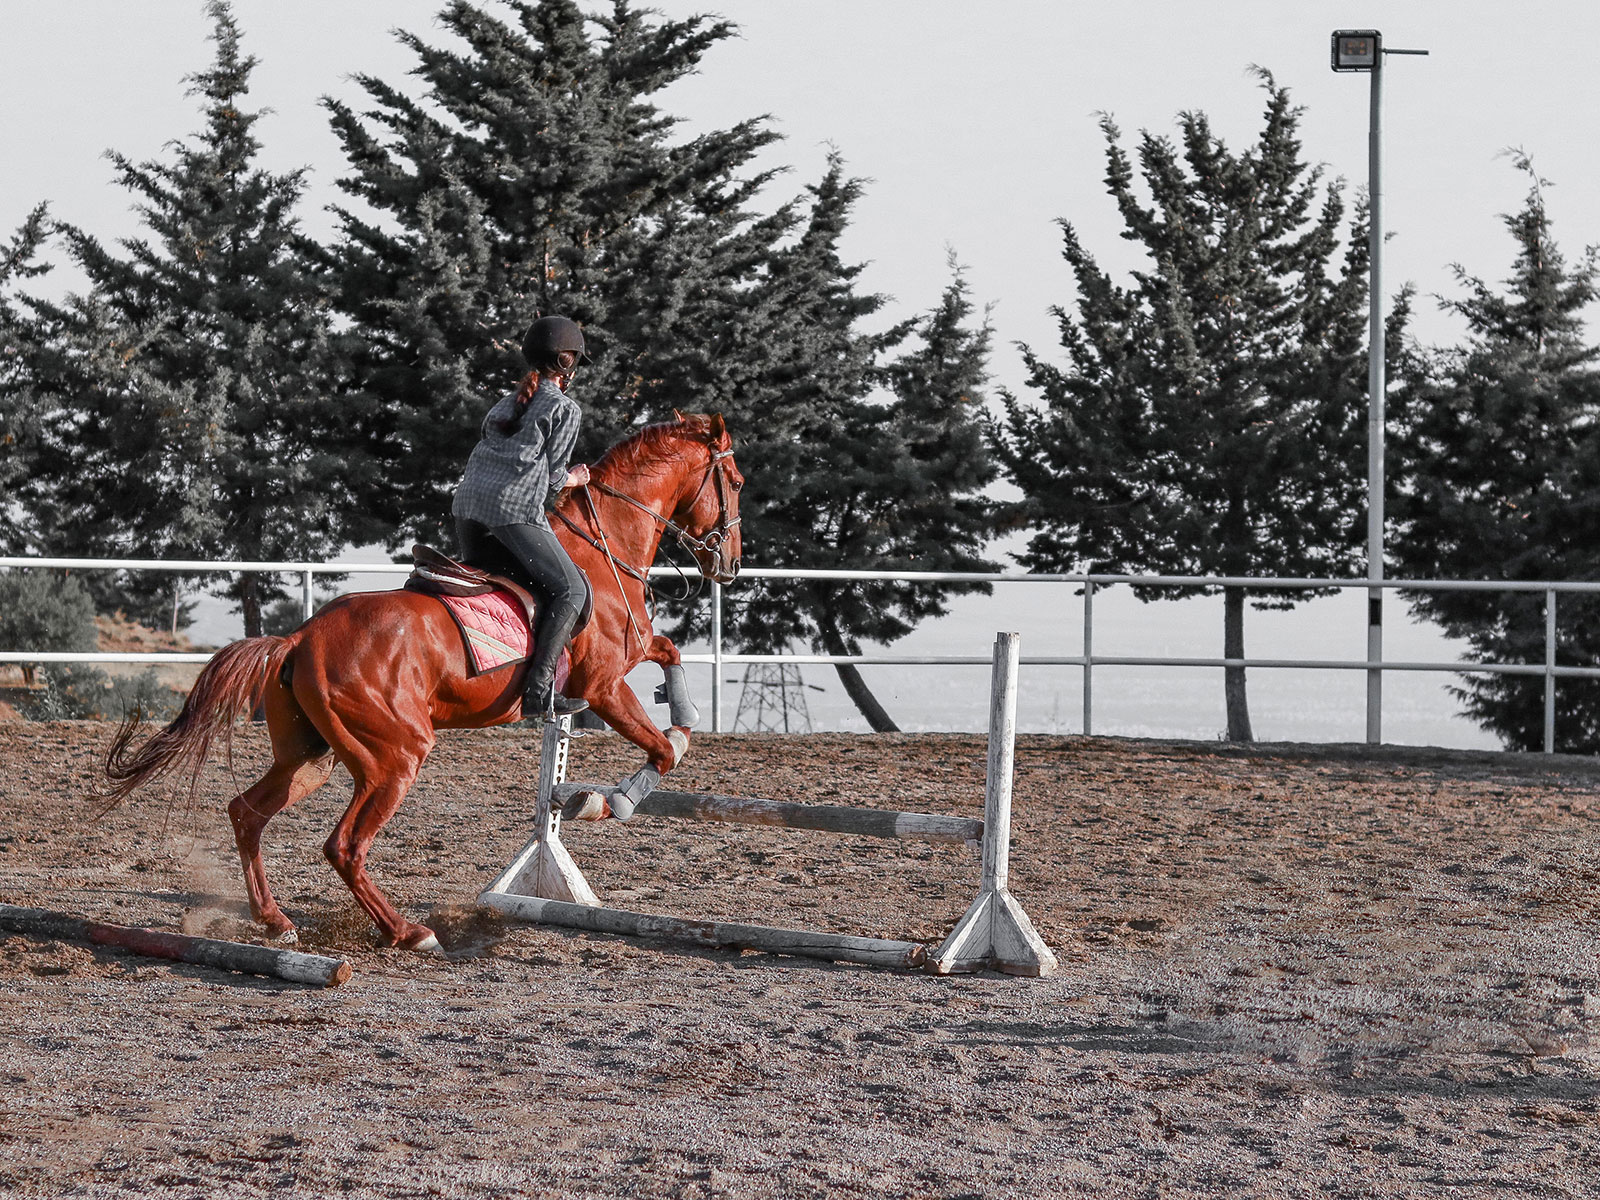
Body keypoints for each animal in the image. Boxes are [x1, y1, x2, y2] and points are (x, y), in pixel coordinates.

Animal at [98, 419, 742, 953]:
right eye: (734, 481)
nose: (730, 564)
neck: (602, 547)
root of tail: (300, 638)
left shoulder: (630, 659)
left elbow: (671, 658)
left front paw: (680, 716)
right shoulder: (604, 686)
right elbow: (661, 751)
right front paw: (609, 800)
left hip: (312, 756)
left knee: (248, 813)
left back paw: (277, 921)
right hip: (395, 756)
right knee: (344, 846)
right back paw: (408, 932)